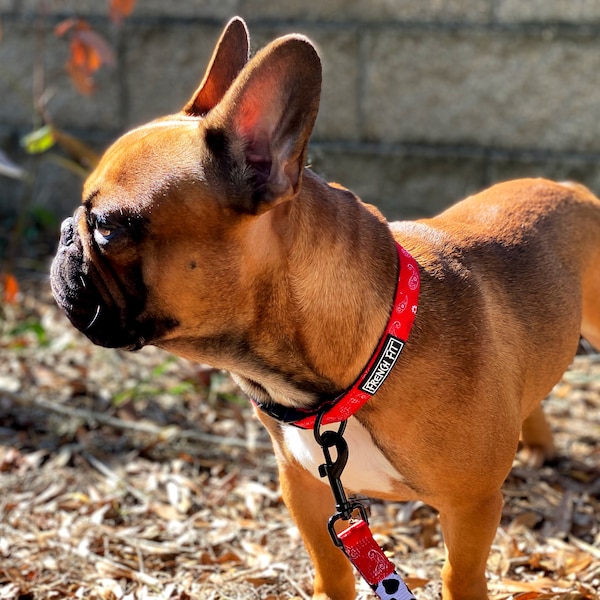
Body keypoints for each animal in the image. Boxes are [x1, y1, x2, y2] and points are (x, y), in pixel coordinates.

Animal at [50, 16, 600, 596]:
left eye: (107, 228)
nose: (65, 233)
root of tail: (569, 186)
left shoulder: (470, 508)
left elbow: (459, 574)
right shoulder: (305, 486)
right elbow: (330, 563)